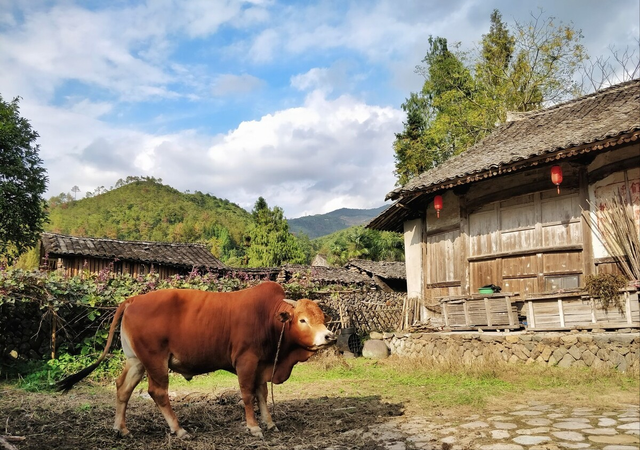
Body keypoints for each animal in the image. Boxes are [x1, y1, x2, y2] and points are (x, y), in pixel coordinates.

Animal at [56, 282, 336, 440]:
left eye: (322, 317)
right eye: (302, 320)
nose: (329, 336)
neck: (267, 317)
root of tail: (134, 299)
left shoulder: (261, 364)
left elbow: (262, 394)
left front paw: (269, 423)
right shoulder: (245, 361)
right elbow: (247, 394)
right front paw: (254, 427)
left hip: (136, 360)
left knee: (123, 388)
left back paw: (121, 429)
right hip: (155, 360)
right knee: (158, 391)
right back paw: (179, 430)